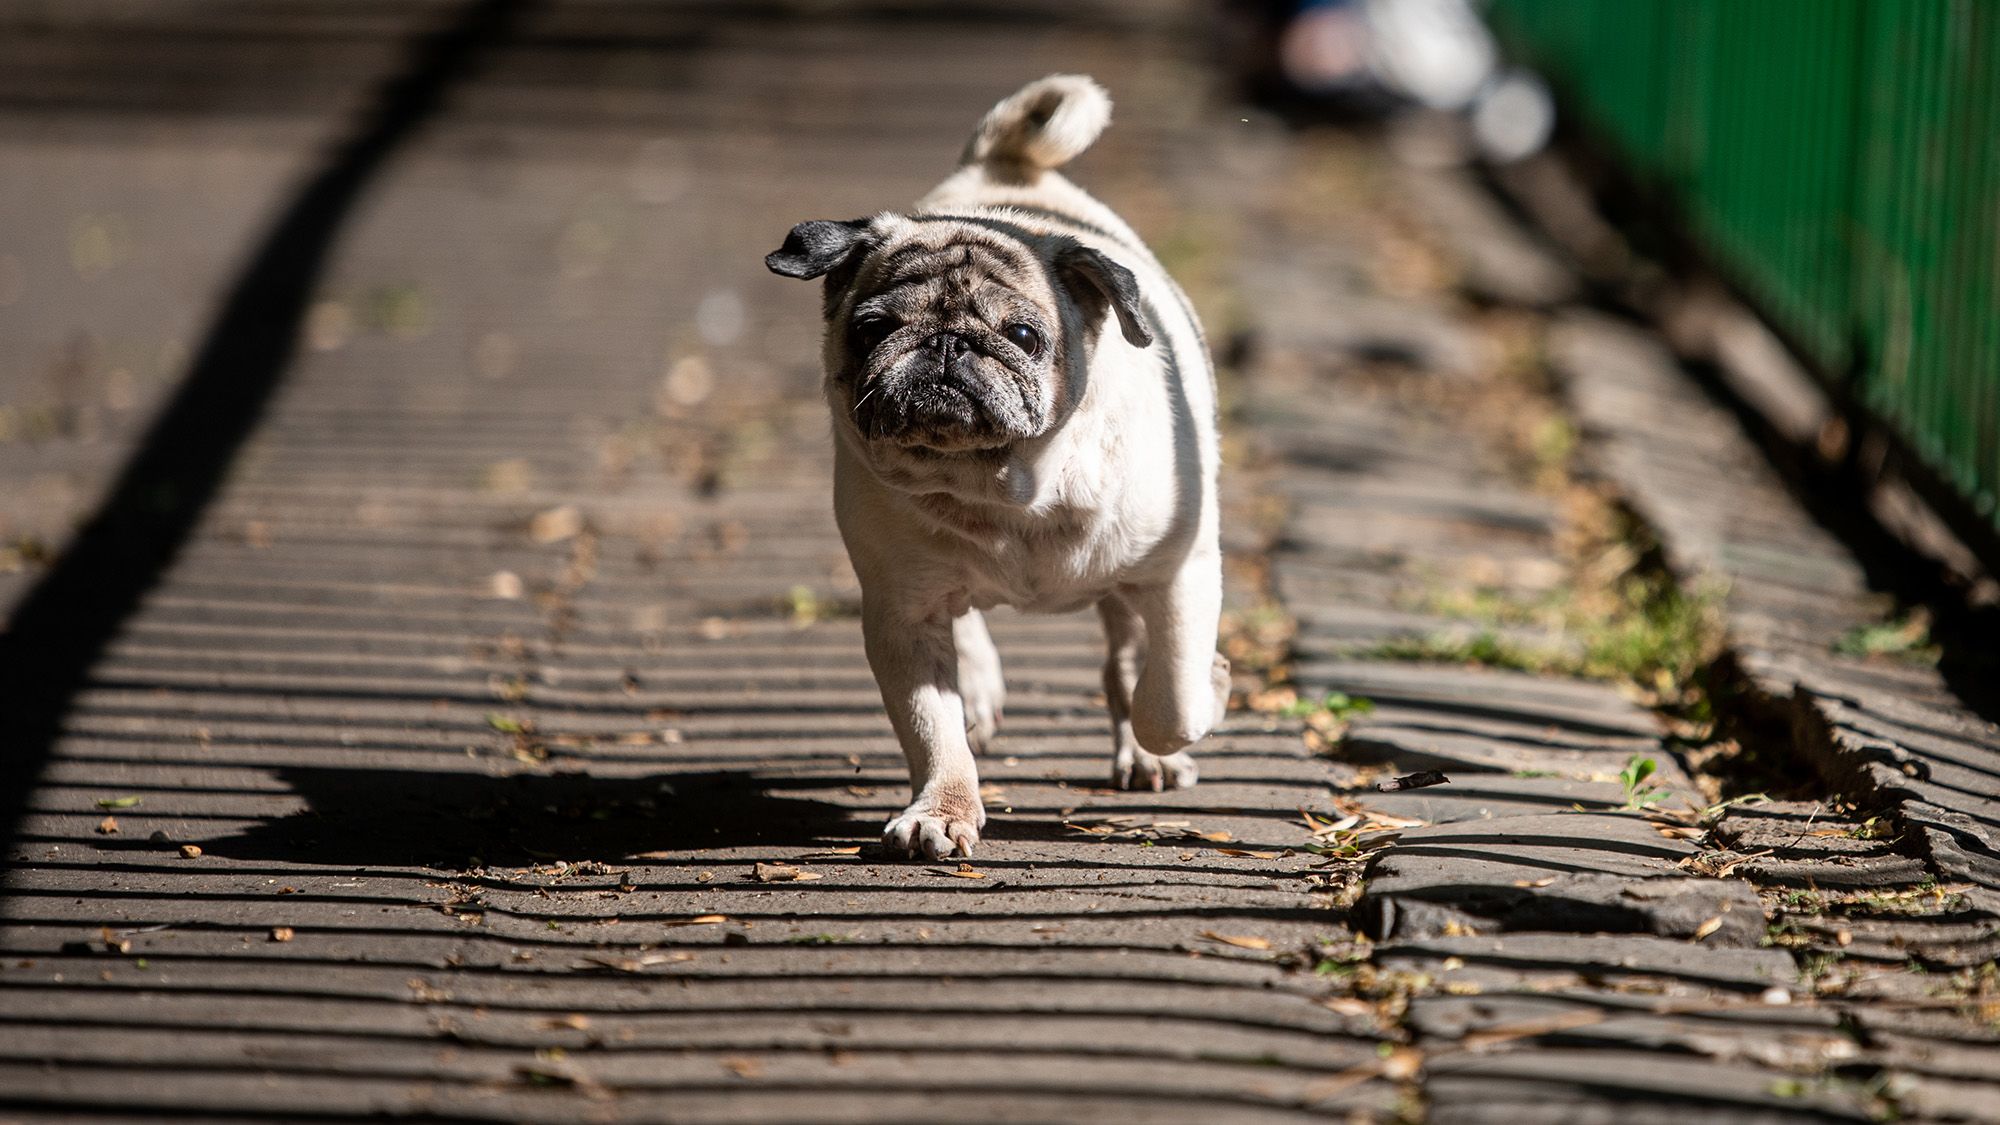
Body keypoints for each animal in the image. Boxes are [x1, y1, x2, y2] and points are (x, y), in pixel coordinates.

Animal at [772, 74, 1224, 852]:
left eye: (1023, 335)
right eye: (872, 329)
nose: (947, 344)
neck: (1002, 487)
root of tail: (1002, 166)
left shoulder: (1180, 571)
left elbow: (1173, 701)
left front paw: (1208, 690)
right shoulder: (902, 611)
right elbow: (932, 727)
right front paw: (941, 809)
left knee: (1131, 663)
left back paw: (1145, 754)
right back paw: (981, 687)